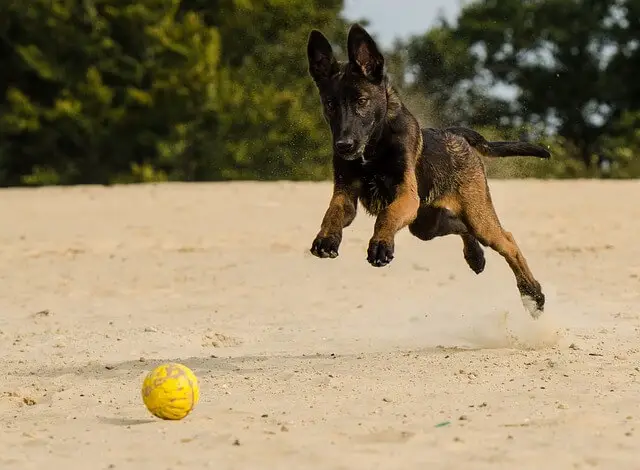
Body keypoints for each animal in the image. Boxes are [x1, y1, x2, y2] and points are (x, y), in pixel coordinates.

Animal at [304, 23, 552, 320]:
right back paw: (476, 256)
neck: (373, 148)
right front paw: (326, 239)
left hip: (475, 216)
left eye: (362, 101)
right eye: (330, 105)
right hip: (426, 224)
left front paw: (381, 244)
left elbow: (386, 216)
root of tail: (455, 134)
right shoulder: (345, 194)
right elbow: (332, 213)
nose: (344, 146)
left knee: (508, 242)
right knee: (460, 226)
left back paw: (533, 295)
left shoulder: (406, 197)